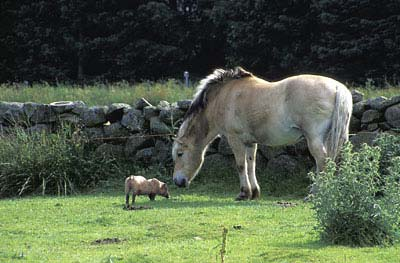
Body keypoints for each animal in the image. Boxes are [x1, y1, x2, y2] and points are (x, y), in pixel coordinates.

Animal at [170, 67, 352, 200]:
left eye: (180, 154)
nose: (177, 182)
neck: (223, 97)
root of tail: (338, 87)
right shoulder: (251, 142)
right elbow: (251, 164)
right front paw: (254, 192)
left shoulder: (235, 139)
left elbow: (240, 165)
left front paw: (244, 193)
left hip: (314, 139)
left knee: (322, 162)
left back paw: (315, 194)